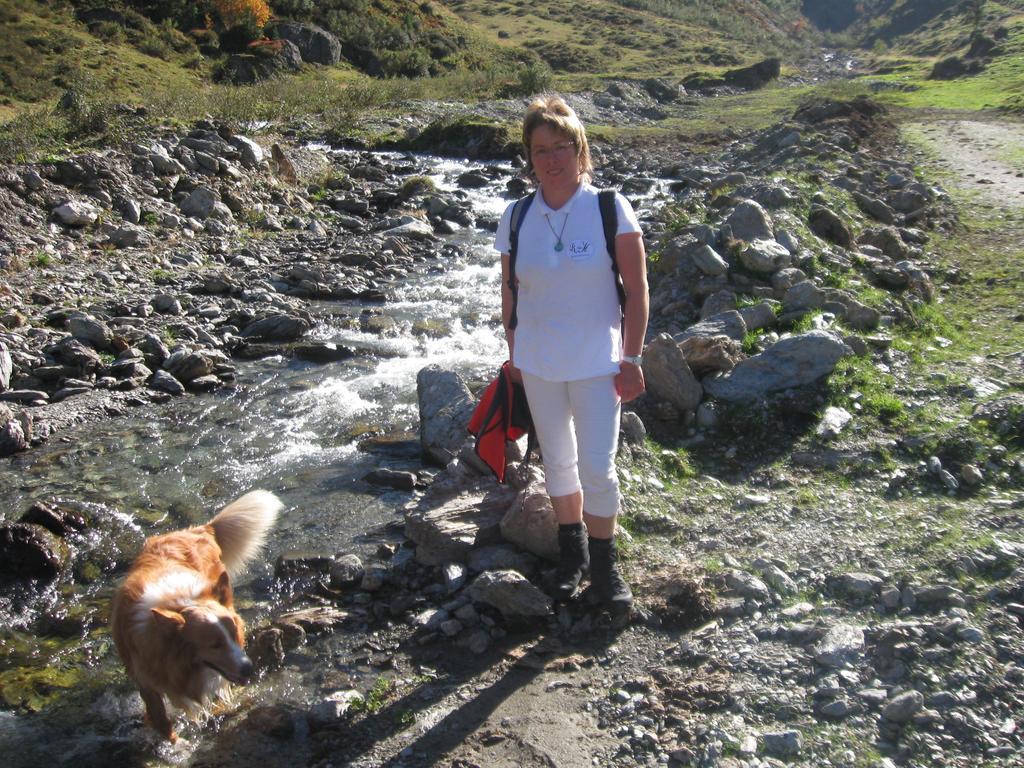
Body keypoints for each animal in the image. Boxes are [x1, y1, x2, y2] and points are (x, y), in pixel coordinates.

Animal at [111, 489, 284, 741]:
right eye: (214, 645)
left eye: (235, 636)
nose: (248, 668)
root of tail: (199, 529)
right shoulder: (144, 677)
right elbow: (161, 720)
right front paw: (174, 743)